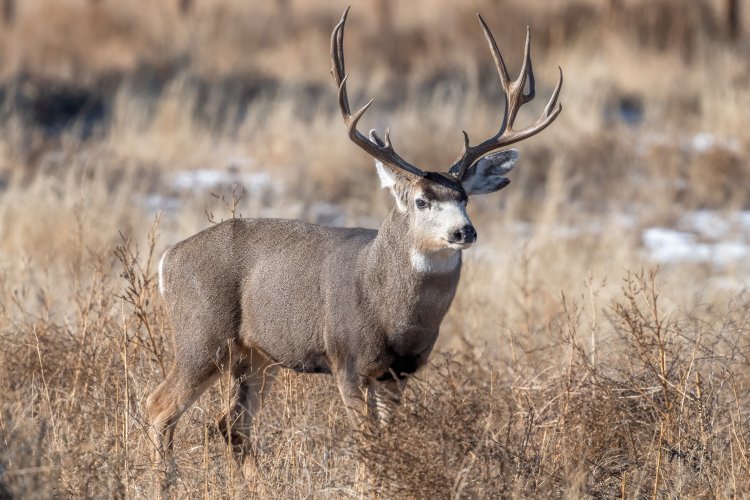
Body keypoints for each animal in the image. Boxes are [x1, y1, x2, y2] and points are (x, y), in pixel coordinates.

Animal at [147, 6, 564, 476]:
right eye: (421, 200)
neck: (389, 309)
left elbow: (387, 439)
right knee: (159, 407)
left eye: (465, 198)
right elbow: (367, 444)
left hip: (256, 354)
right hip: (202, 335)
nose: (465, 231)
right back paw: (165, 480)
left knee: (232, 423)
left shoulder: (399, 373)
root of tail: (167, 259)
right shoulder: (344, 358)